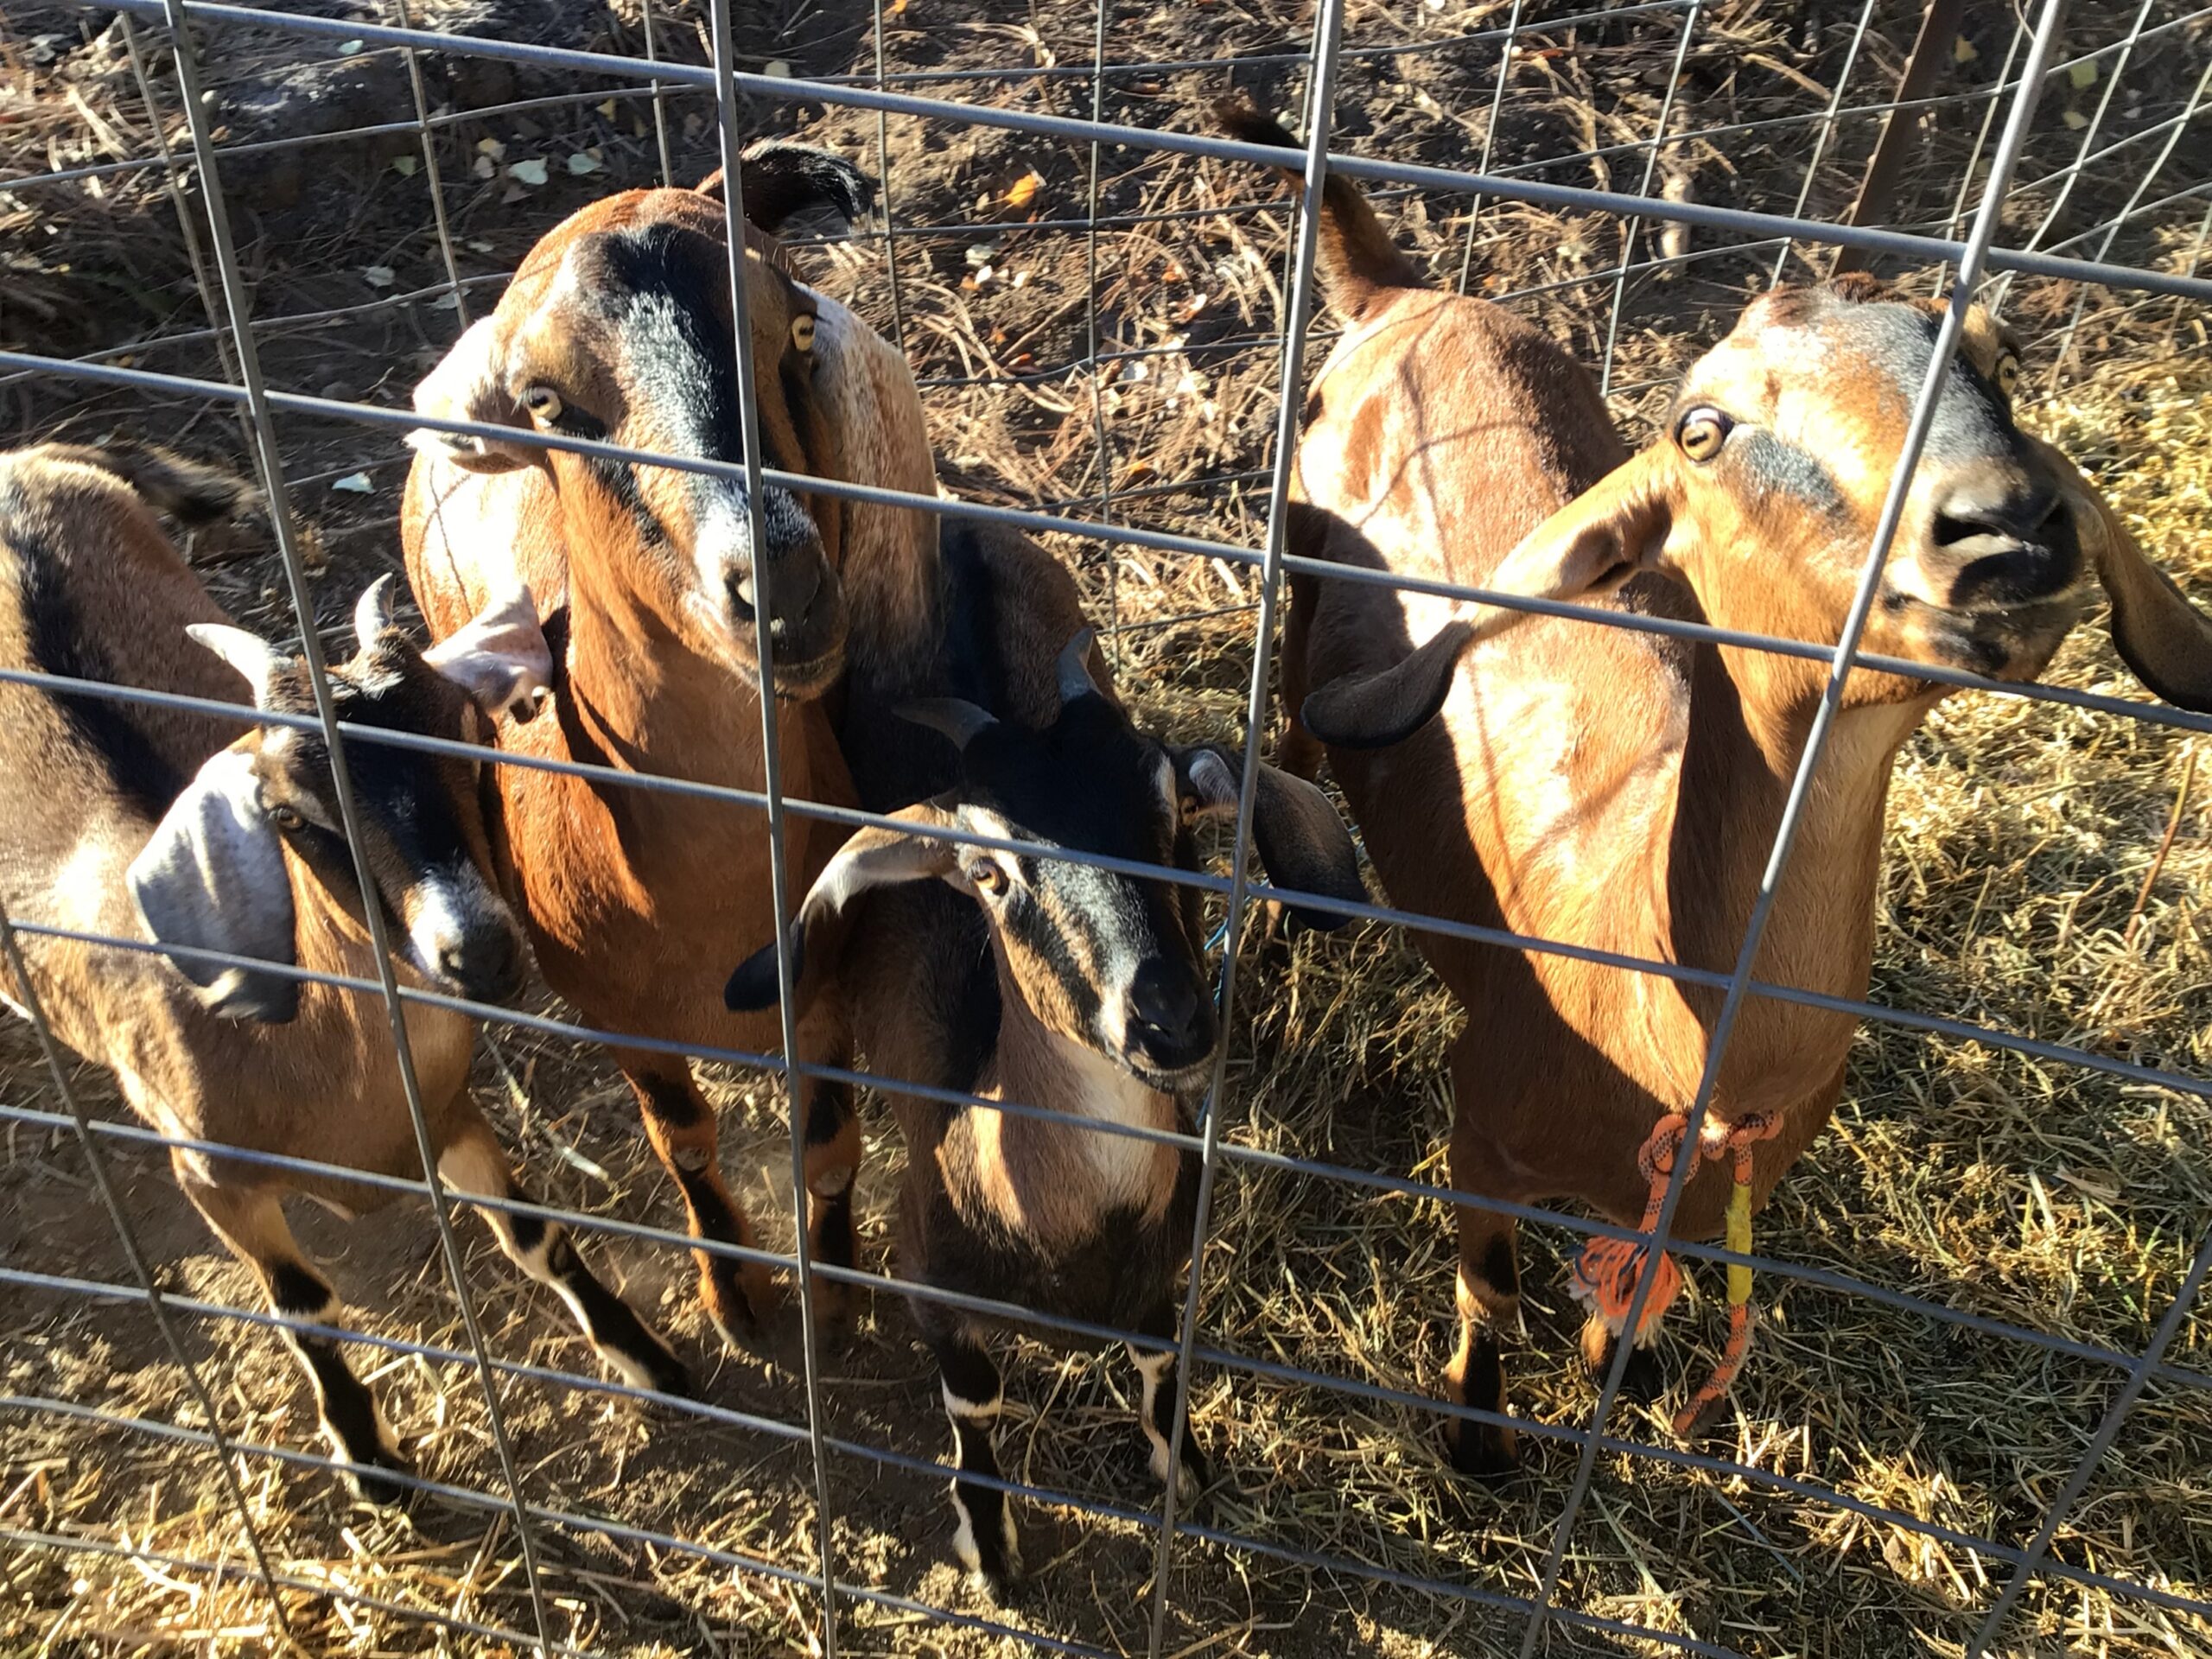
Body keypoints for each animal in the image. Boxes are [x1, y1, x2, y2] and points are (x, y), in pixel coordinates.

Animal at [0, 442, 686, 1501]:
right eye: (289, 815)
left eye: (470, 738)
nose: (477, 949)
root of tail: (36, 455)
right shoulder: (211, 1177)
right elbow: (303, 1304)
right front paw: (372, 1462)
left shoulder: (449, 1109)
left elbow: (534, 1232)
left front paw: (651, 1362)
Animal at [402, 141, 940, 1353]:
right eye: (546, 401)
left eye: (793, 331)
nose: (780, 590)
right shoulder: (618, 1017)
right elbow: (682, 1138)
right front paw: (734, 1294)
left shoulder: (821, 990)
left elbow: (828, 1144)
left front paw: (832, 1297)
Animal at [728, 520, 1366, 1594]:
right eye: (988, 871)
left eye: (1173, 809)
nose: (1168, 1021)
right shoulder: (933, 1286)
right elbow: (974, 1403)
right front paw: (989, 1548)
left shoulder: (1160, 1272)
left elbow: (1159, 1365)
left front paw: (1181, 1468)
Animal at [1219, 101, 2212, 1473]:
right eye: (1703, 428)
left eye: (2000, 365)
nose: (2007, 532)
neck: (1680, 1035)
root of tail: (1408, 294)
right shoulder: (1481, 1126)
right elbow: (1490, 1288)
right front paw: (1476, 1440)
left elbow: (1630, 1293)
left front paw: (1615, 1375)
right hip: (1308, 581)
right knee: (1300, 737)